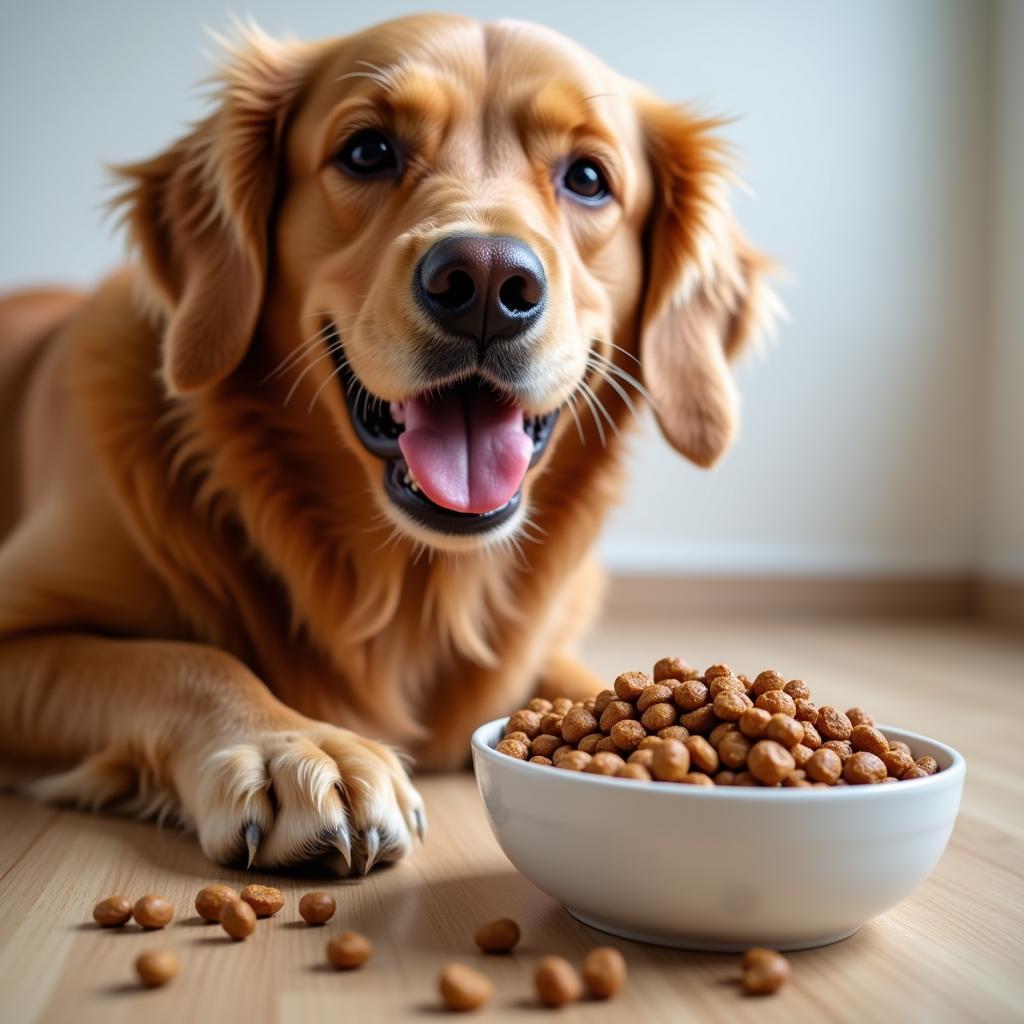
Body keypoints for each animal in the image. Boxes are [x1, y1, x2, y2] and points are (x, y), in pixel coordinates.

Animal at [0, 14, 770, 872]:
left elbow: (584, 681)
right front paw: (294, 748)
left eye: (588, 178)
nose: (487, 283)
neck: (408, 584)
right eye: (368, 151)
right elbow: (180, 660)